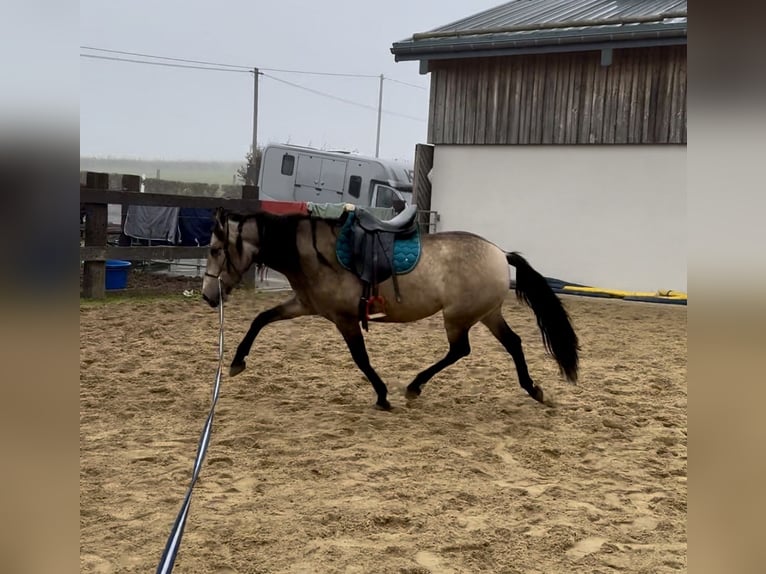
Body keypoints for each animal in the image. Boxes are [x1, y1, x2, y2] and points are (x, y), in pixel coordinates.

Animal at [201, 205, 580, 412]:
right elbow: (261, 319)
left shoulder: (344, 319)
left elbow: (361, 359)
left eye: (216, 250)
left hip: (459, 317)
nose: (208, 295)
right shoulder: (304, 305)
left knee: (460, 350)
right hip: (486, 314)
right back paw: (534, 389)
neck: (315, 252)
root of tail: (500, 254)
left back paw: (414, 387)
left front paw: (382, 396)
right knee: (512, 343)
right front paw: (236, 362)